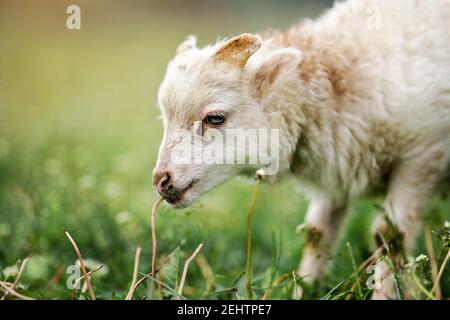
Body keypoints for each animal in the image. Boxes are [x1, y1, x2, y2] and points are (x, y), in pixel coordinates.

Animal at [153, 0, 450, 300]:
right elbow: (316, 235)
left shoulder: (422, 155)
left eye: (215, 118)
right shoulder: (337, 160)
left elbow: (389, 236)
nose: (161, 181)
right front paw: (304, 289)